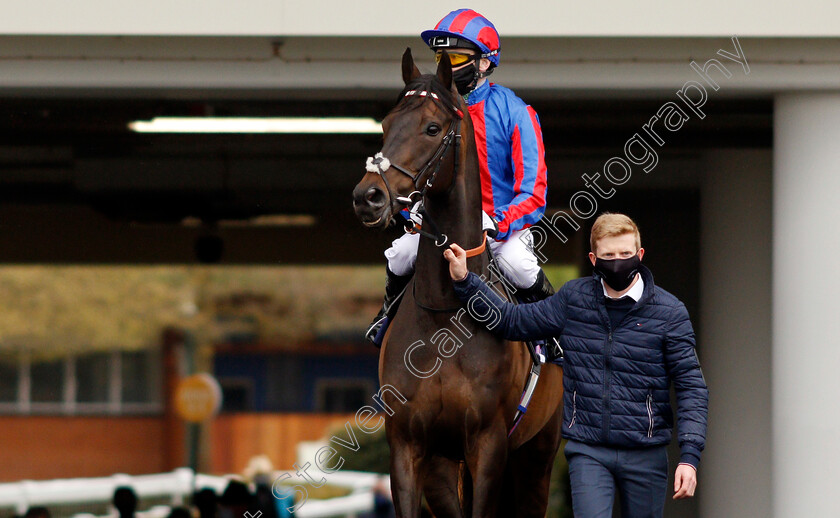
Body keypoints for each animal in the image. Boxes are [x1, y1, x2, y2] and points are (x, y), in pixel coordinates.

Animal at [352, 47, 560, 516]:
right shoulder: (409, 447)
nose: (367, 196)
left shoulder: (489, 446)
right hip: (444, 467)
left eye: (432, 128)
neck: (446, 311)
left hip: (536, 458)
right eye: (386, 124)